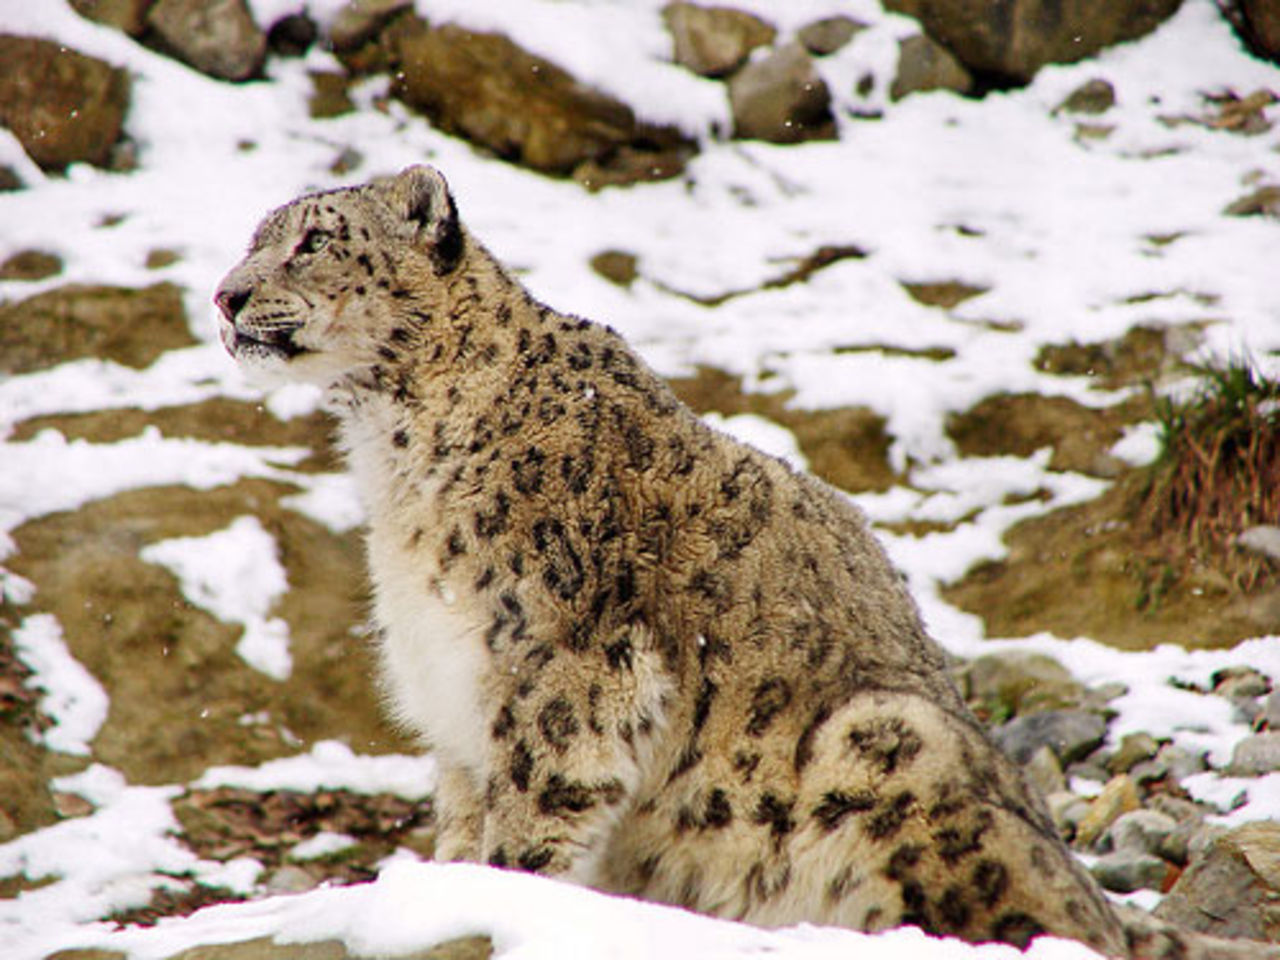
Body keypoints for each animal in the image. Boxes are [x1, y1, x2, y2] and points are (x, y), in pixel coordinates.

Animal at [216, 164, 1168, 955]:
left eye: (313, 241)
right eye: (255, 237)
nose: (226, 296)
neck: (394, 459)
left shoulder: (559, 668)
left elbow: (534, 801)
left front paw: (505, 893)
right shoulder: (450, 686)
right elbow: (461, 807)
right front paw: (441, 894)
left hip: (888, 740)